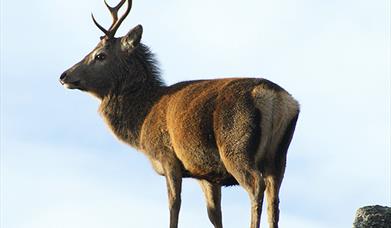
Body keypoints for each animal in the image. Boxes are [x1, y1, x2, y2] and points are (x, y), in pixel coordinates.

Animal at [59, 0, 300, 227]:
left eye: (100, 55)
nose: (64, 75)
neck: (142, 119)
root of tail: (276, 97)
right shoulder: (205, 171)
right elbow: (214, 215)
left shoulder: (168, 156)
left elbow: (174, 204)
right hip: (279, 157)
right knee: (274, 200)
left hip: (236, 146)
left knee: (256, 185)